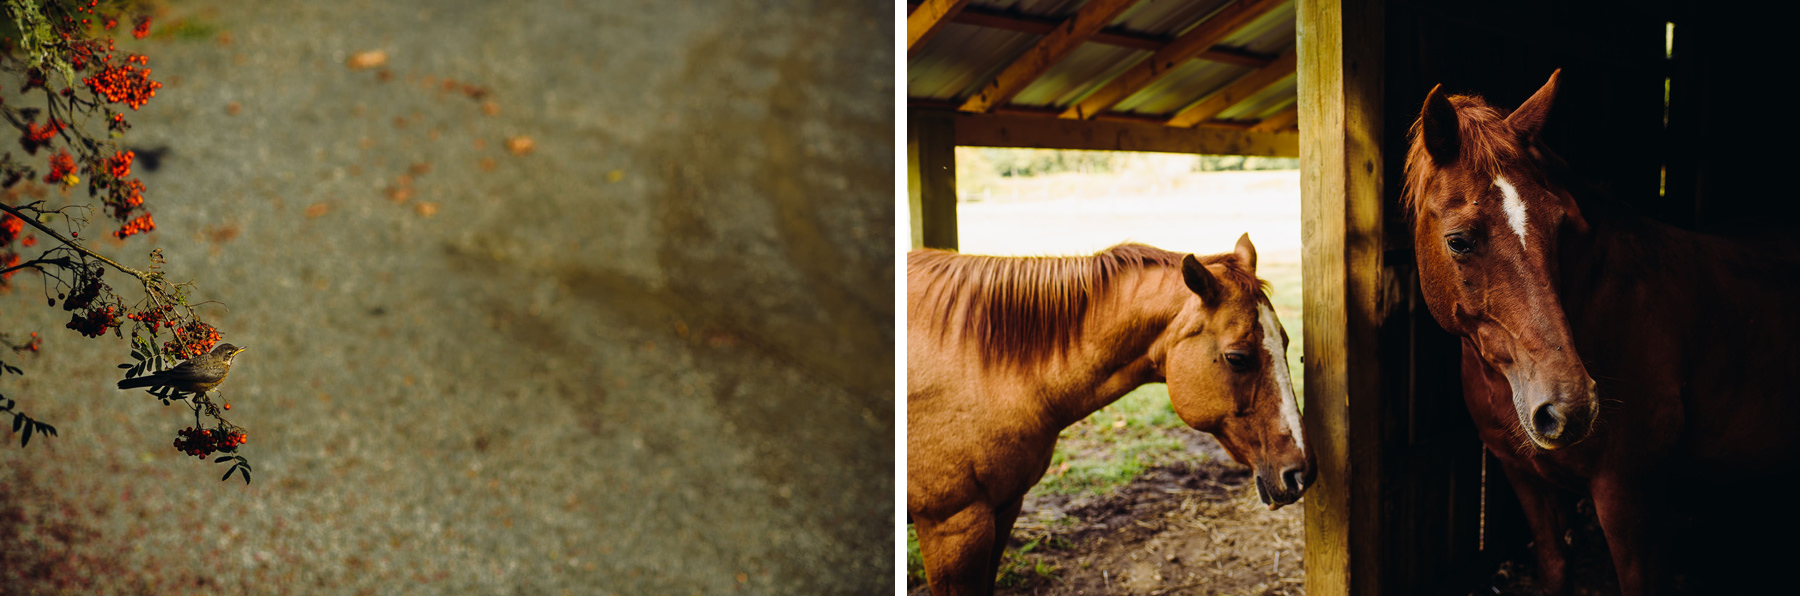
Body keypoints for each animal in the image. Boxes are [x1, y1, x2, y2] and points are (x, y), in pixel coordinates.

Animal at [914, 237, 1310, 596]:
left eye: (1287, 343)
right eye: (1237, 358)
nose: (1303, 473)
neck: (979, 367)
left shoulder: (1004, 508)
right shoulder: (953, 529)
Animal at [1404, 71, 1800, 596]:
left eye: (1560, 225)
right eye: (1458, 241)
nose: (1570, 407)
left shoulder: (1626, 494)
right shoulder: (1524, 478)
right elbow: (1555, 567)